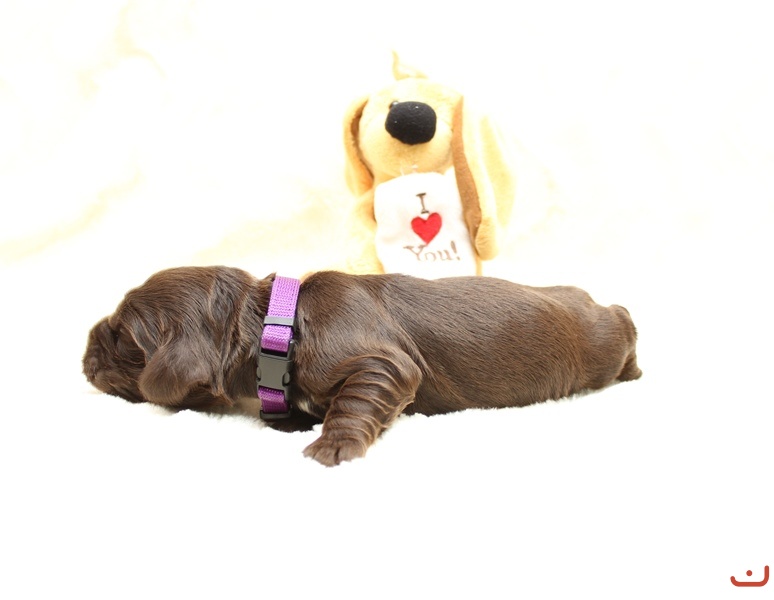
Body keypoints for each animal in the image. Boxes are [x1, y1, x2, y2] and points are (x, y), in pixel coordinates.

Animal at [83, 266, 642, 466]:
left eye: (121, 335)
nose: (83, 348)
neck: (277, 323)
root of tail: (584, 295)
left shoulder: (377, 359)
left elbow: (357, 397)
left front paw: (332, 446)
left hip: (600, 340)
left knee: (623, 319)